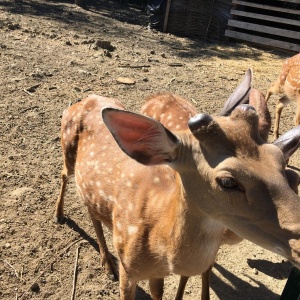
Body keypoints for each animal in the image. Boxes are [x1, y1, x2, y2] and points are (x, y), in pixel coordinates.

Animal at [54, 84, 300, 300]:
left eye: (280, 159)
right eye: (227, 181)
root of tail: (86, 99)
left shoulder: (158, 274)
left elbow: (159, 293)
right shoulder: (128, 269)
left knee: (91, 209)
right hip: (67, 149)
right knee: (65, 175)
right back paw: (62, 219)